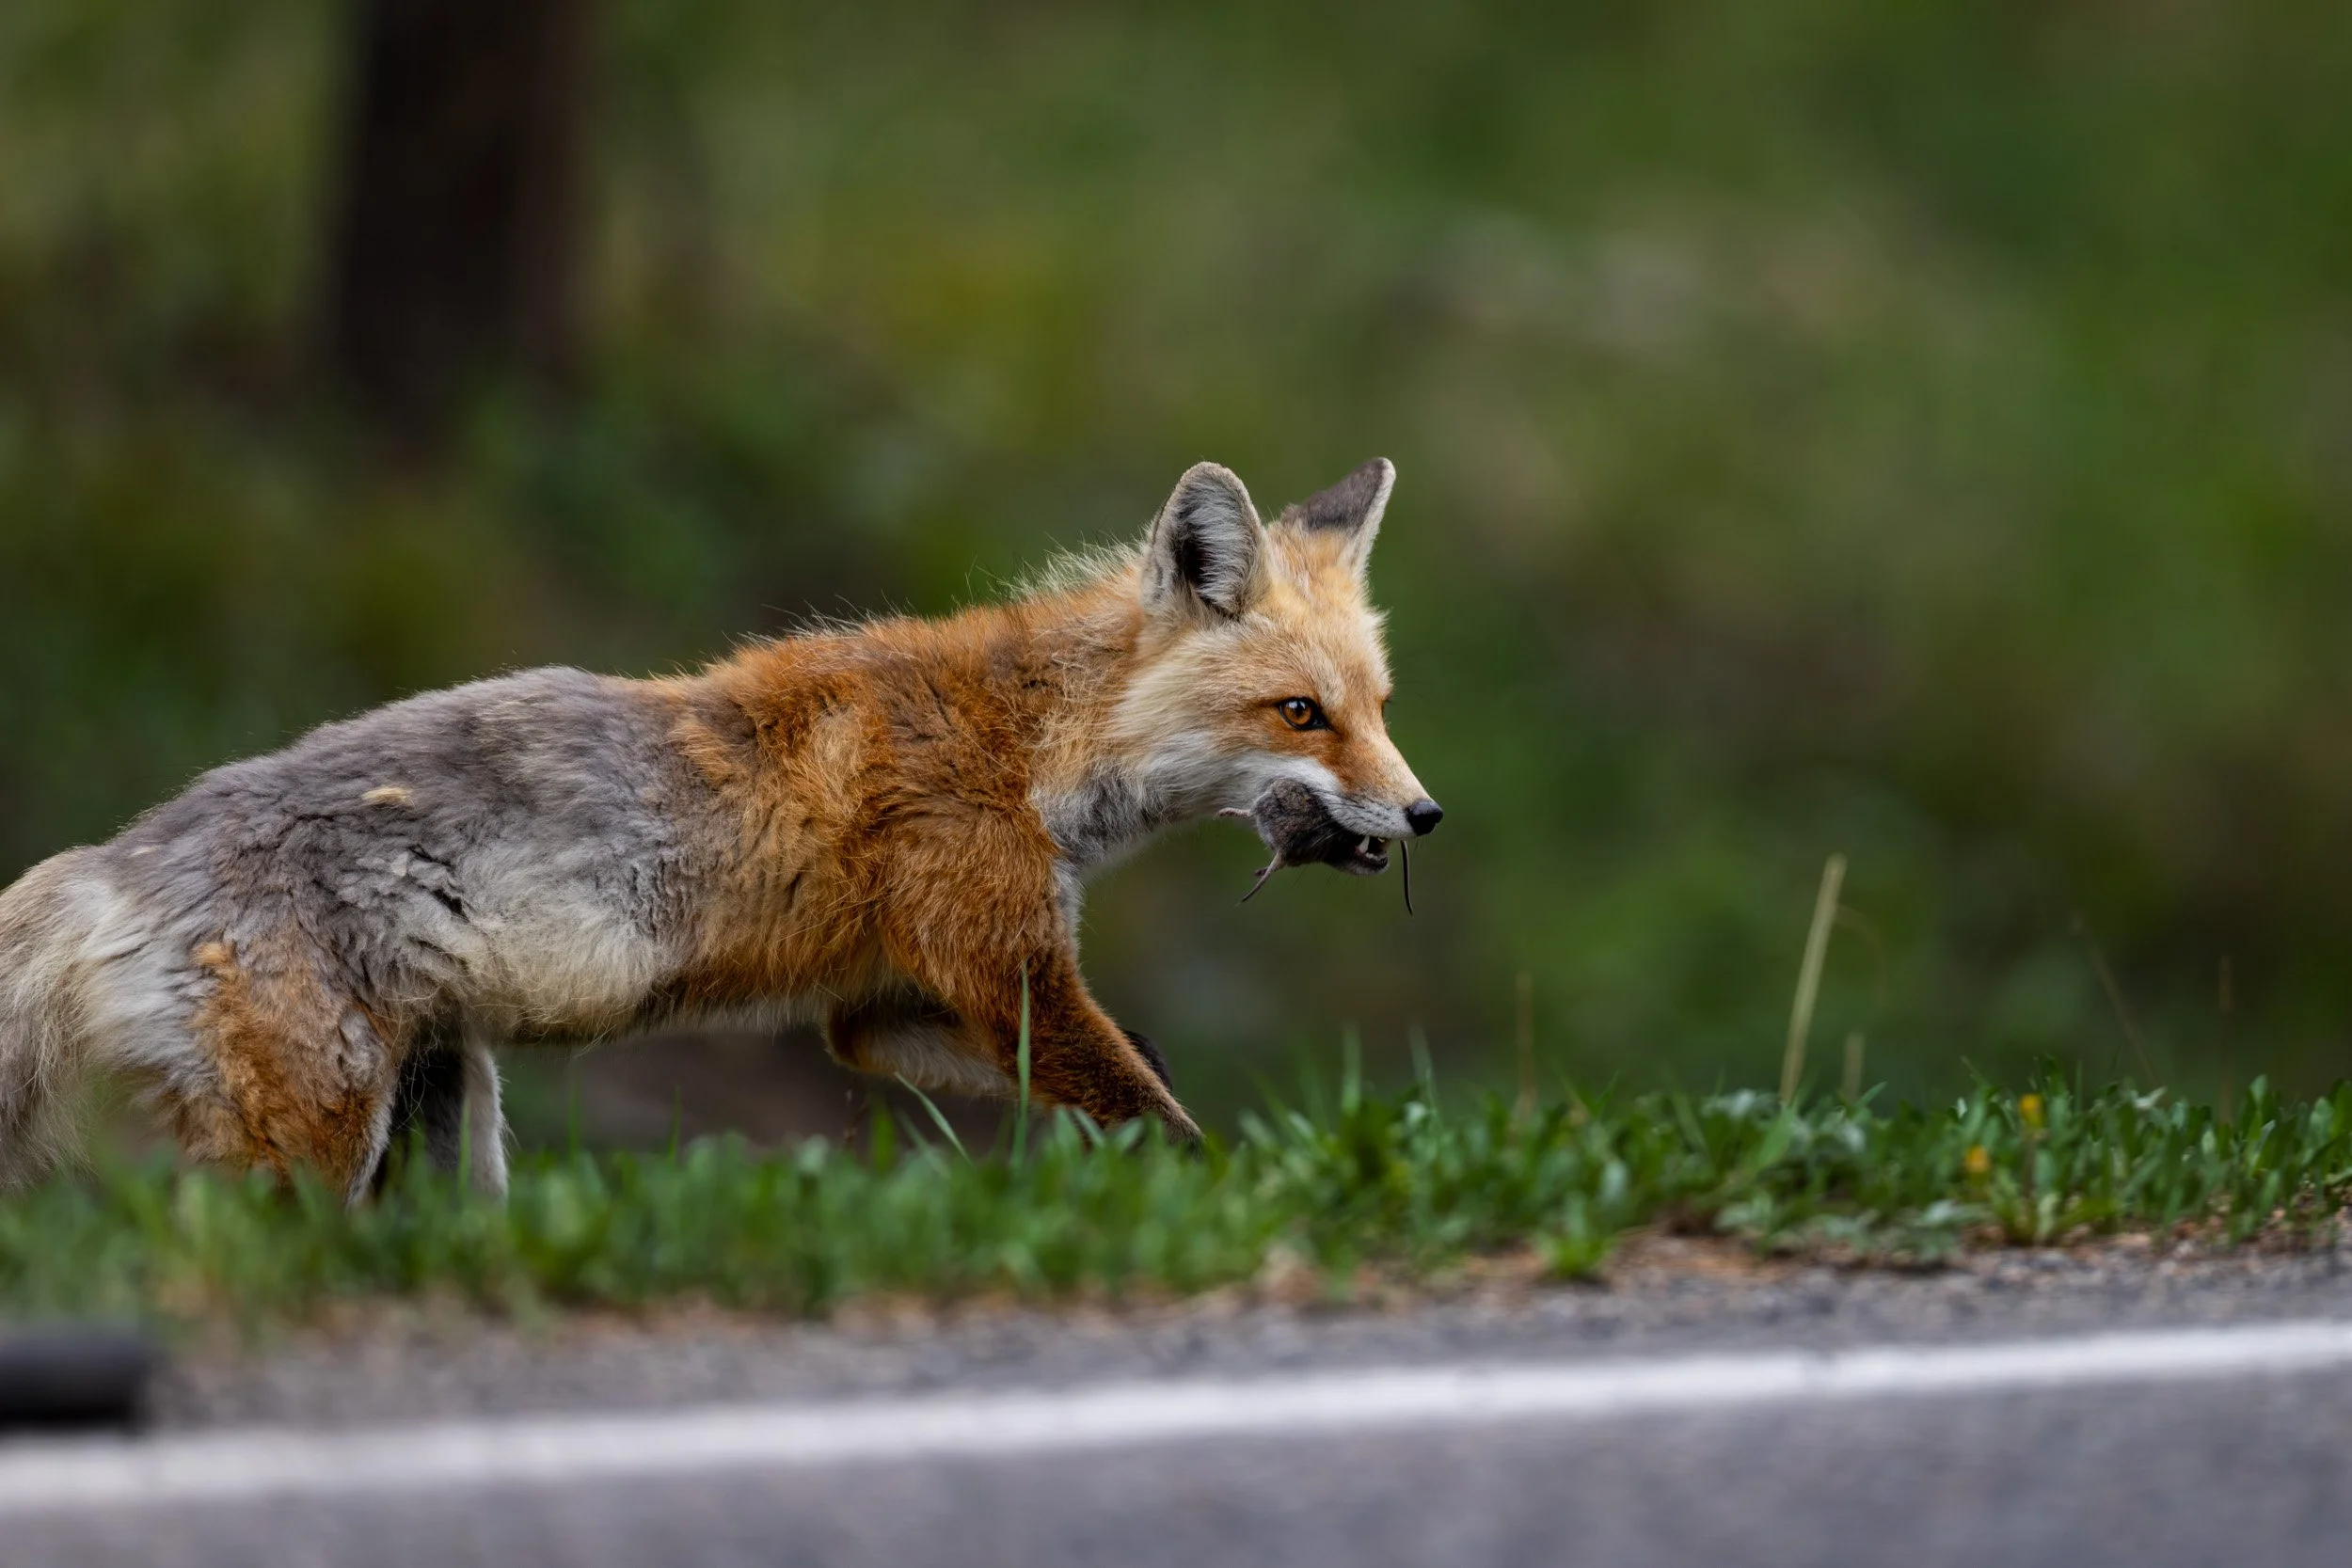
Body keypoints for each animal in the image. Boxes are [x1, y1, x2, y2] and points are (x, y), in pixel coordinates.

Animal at [0, 458, 1440, 1199]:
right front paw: (1238, 1192)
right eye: (1301, 712)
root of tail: (104, 862)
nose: (1425, 812)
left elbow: (1109, 1069)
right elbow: (1155, 1110)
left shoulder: (887, 1004)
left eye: (1377, 706)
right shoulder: (1000, 956)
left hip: (444, 1117)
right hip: (311, 1135)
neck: (1024, 745)